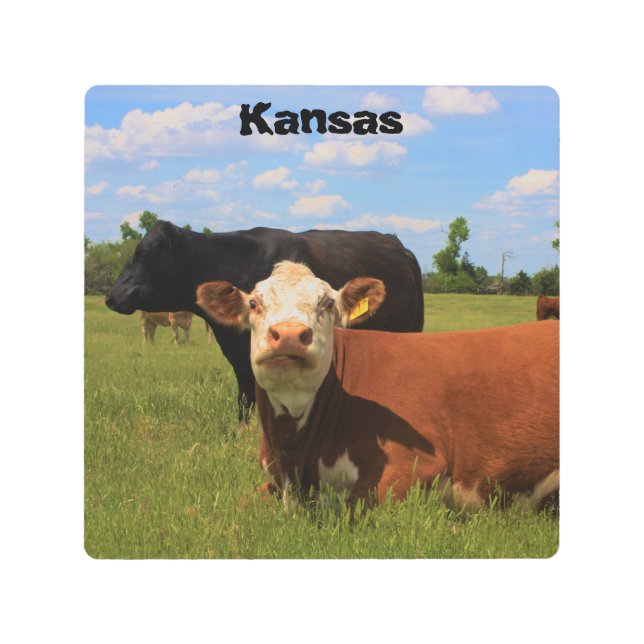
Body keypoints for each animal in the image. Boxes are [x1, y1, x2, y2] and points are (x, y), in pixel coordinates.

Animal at [196, 261, 559, 511]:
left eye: (328, 304)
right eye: (254, 304)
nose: (288, 334)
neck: (294, 457)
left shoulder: (416, 467)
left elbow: (355, 507)